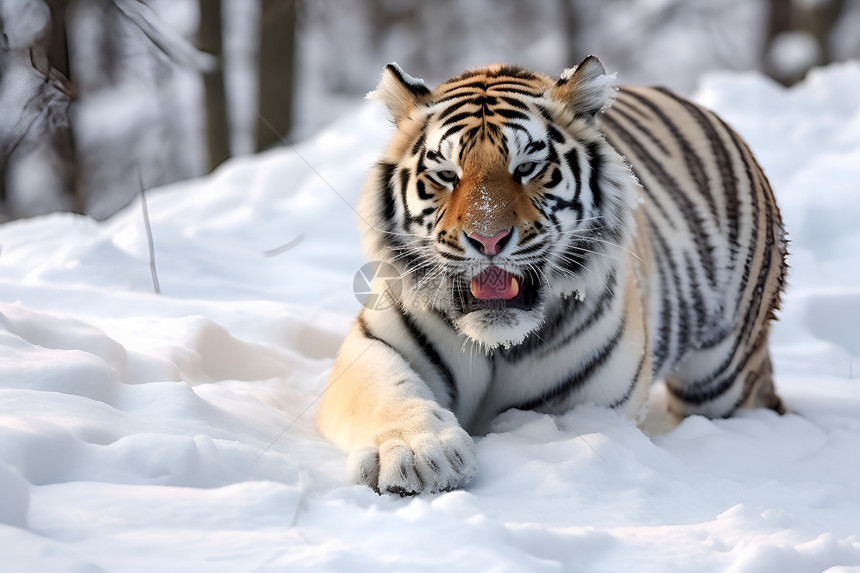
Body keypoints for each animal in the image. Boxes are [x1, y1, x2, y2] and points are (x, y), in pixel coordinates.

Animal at [314, 57, 788, 496]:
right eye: (447, 175)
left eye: (526, 168)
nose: (487, 240)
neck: (498, 345)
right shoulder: (375, 344)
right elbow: (389, 393)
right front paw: (419, 455)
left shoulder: (593, 404)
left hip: (722, 373)